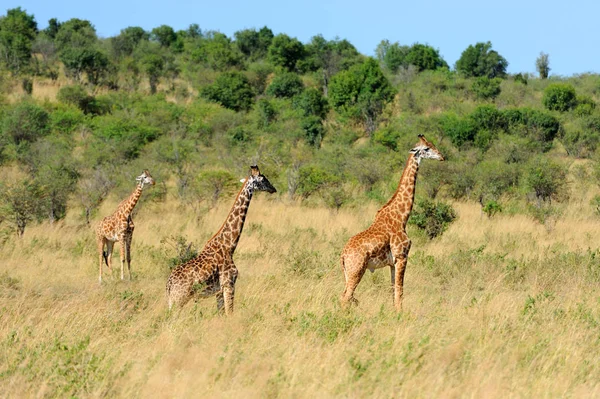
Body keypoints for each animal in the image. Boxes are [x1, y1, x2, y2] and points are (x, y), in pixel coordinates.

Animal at [164, 166, 276, 316]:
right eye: (263, 179)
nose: (273, 189)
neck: (229, 245)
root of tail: (169, 283)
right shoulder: (229, 285)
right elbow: (230, 314)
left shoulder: (218, 291)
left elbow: (222, 314)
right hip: (179, 299)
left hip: (173, 301)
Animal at [340, 136, 442, 314]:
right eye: (427, 148)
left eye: (432, 145)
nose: (442, 156)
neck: (402, 217)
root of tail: (343, 255)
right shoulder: (402, 257)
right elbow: (400, 291)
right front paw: (400, 315)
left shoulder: (392, 263)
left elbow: (393, 290)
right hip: (356, 270)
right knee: (346, 297)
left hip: (348, 272)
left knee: (344, 296)